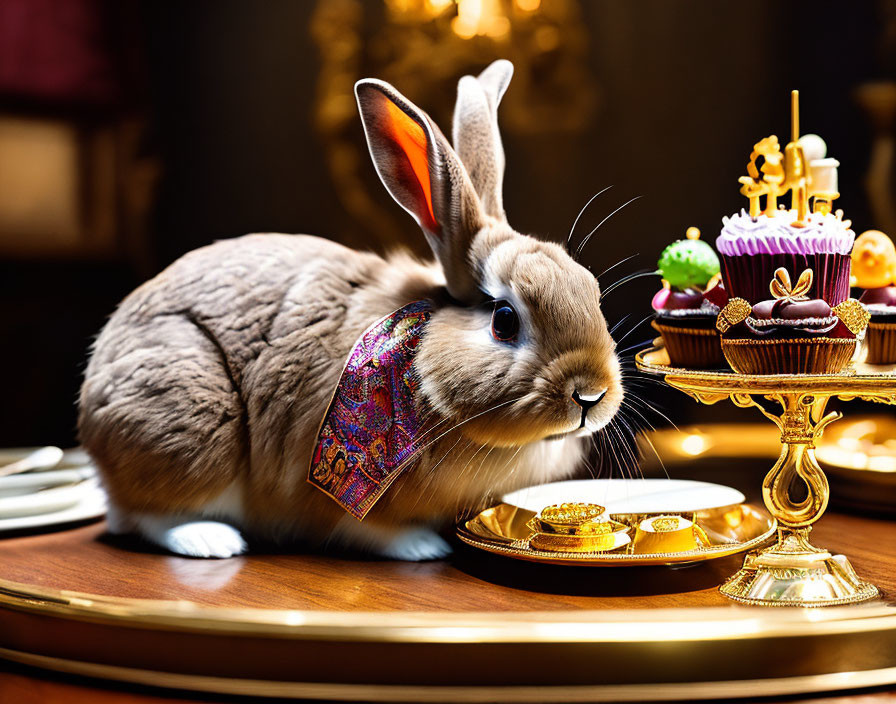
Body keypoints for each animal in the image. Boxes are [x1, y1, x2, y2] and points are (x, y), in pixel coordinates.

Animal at [79, 62, 624, 568]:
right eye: (505, 320)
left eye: (591, 290)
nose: (591, 394)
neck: (421, 364)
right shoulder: (330, 487)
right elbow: (366, 529)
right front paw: (421, 546)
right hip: (189, 429)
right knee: (149, 513)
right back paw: (210, 540)